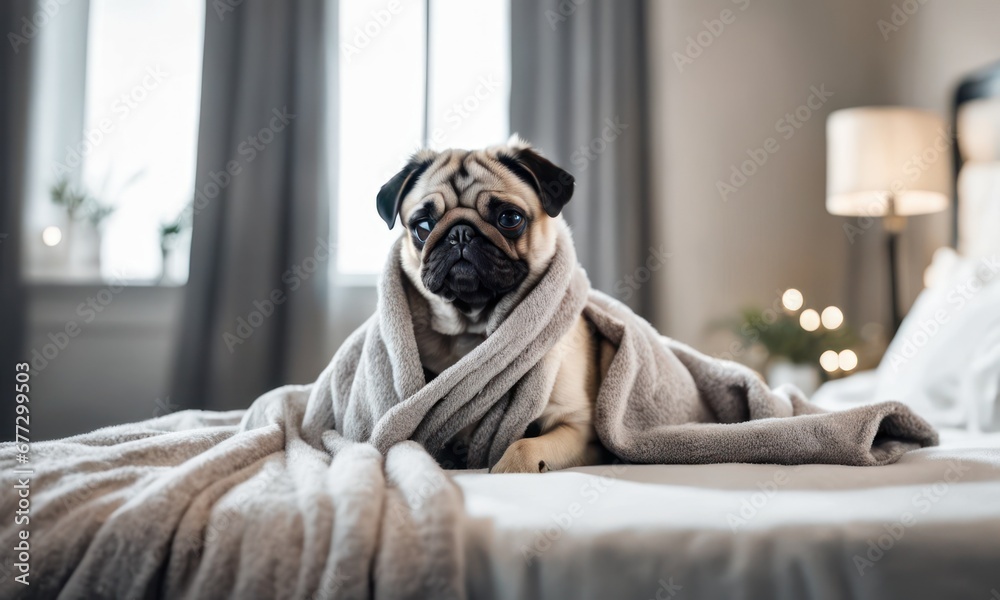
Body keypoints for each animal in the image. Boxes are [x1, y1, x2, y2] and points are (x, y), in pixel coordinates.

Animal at [376, 139, 612, 474]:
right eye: (423, 226)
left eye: (509, 219)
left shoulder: (577, 426)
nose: (460, 233)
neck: (472, 326)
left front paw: (510, 467)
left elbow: (524, 445)